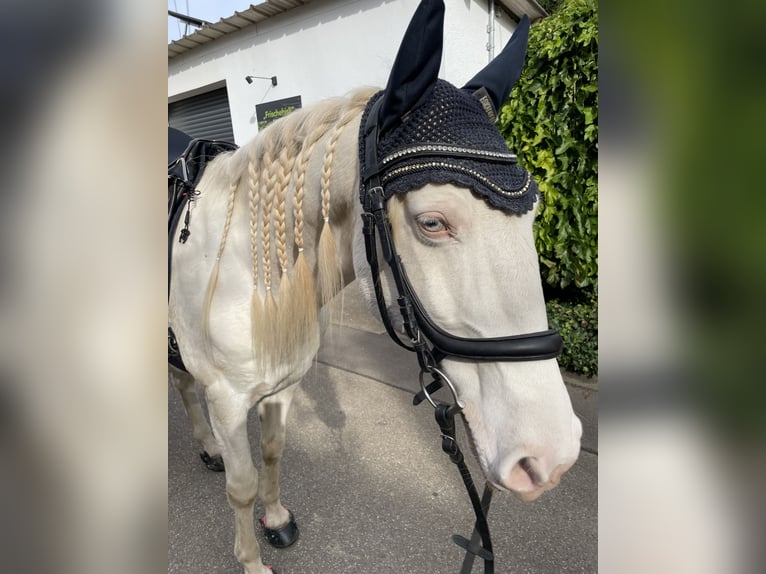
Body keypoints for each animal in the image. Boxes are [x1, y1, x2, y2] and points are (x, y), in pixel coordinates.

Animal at [170, 2, 584, 572]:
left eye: (536, 212)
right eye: (432, 223)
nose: (551, 455)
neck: (250, 277)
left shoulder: (283, 386)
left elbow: (273, 454)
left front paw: (275, 520)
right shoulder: (229, 402)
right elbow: (243, 485)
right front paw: (251, 560)